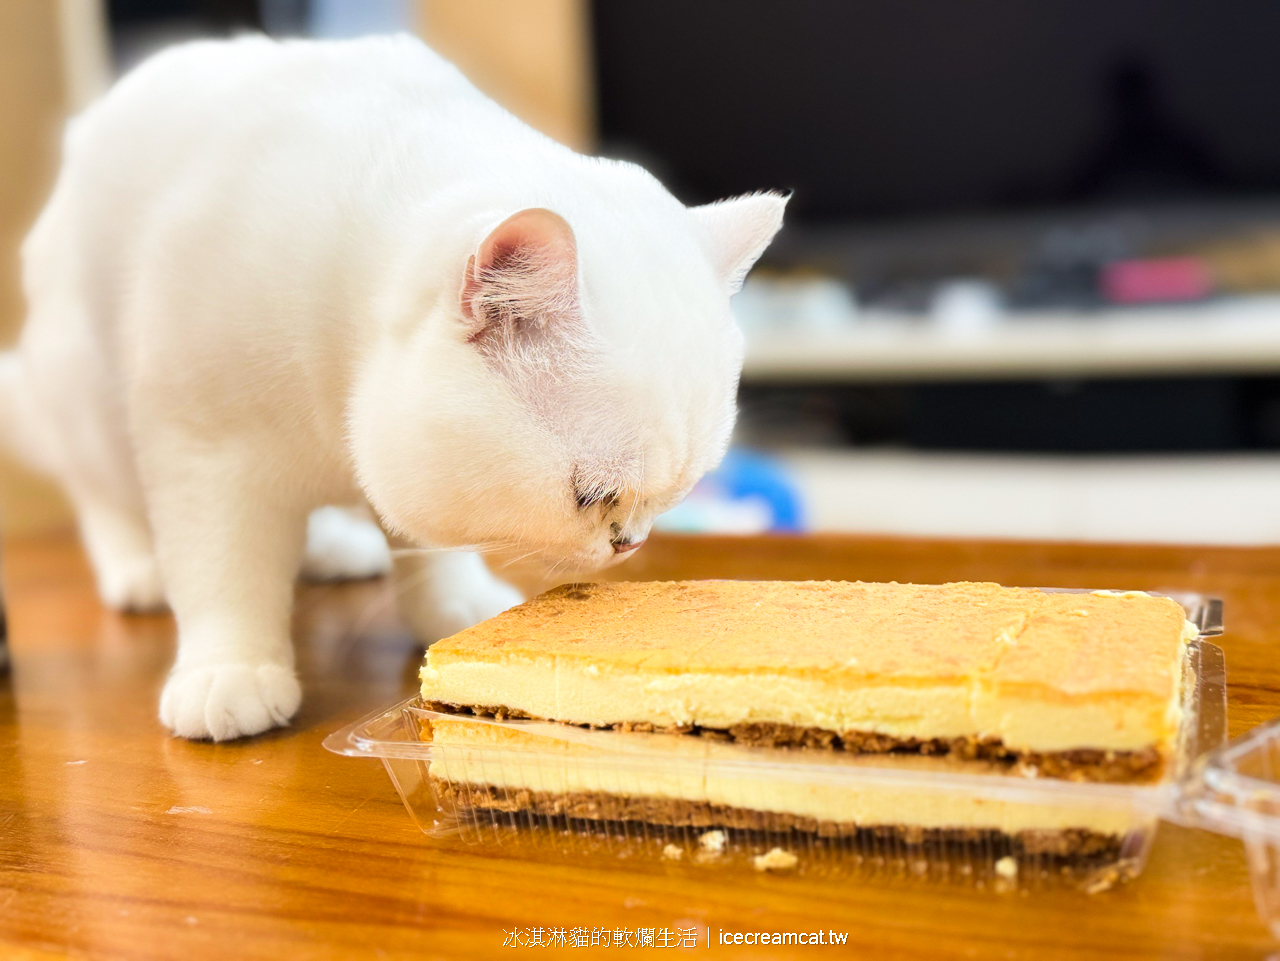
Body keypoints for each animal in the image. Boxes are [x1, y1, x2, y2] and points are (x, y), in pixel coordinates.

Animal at [0, 33, 778, 742]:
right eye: (592, 496)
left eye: (678, 495)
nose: (630, 546)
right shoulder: (205, 449)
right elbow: (224, 571)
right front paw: (231, 672)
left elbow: (427, 543)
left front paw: (454, 602)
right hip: (88, 407)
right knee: (103, 499)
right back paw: (140, 570)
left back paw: (333, 549)